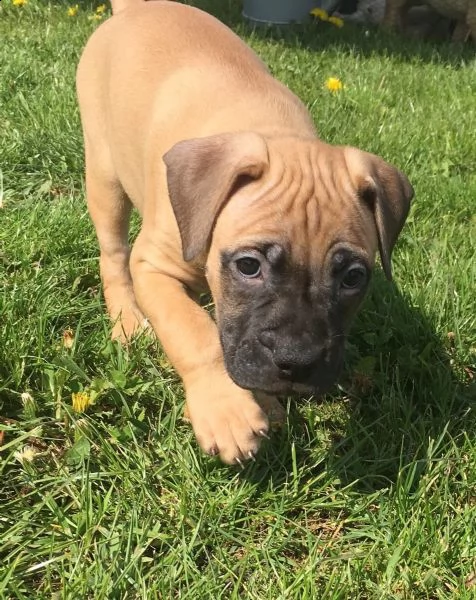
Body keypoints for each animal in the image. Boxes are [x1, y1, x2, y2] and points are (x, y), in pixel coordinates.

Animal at [77, 0, 412, 464]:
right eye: (249, 266)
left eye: (353, 278)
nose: (296, 361)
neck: (274, 132)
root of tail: (137, 8)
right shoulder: (154, 268)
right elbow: (194, 333)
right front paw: (226, 411)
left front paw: (264, 401)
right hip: (105, 174)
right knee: (112, 255)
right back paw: (127, 319)